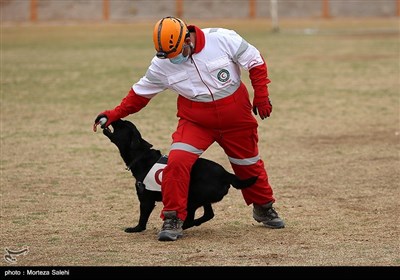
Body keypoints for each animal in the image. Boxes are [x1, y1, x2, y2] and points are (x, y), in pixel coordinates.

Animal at [103, 119, 258, 233]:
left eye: (123, 125)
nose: (116, 118)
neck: (140, 156)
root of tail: (226, 174)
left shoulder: (146, 199)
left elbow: (142, 217)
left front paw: (136, 229)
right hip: (201, 197)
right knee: (208, 214)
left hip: (192, 197)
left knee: (192, 217)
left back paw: (180, 226)